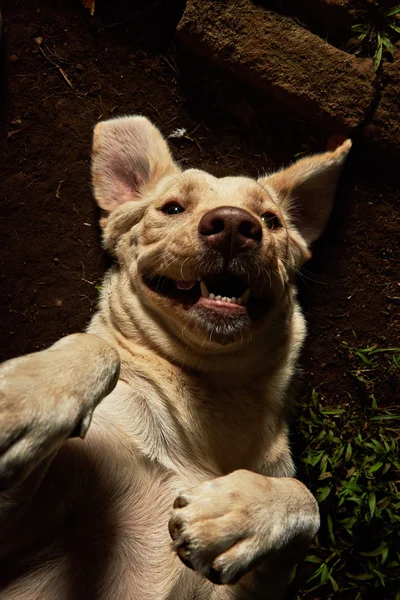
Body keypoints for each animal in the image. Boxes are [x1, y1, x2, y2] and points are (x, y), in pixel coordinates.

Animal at [0, 115, 350, 596]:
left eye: (271, 219)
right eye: (172, 208)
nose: (235, 225)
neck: (212, 390)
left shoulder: (260, 588)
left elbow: (305, 498)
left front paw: (232, 516)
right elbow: (97, 347)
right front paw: (24, 401)